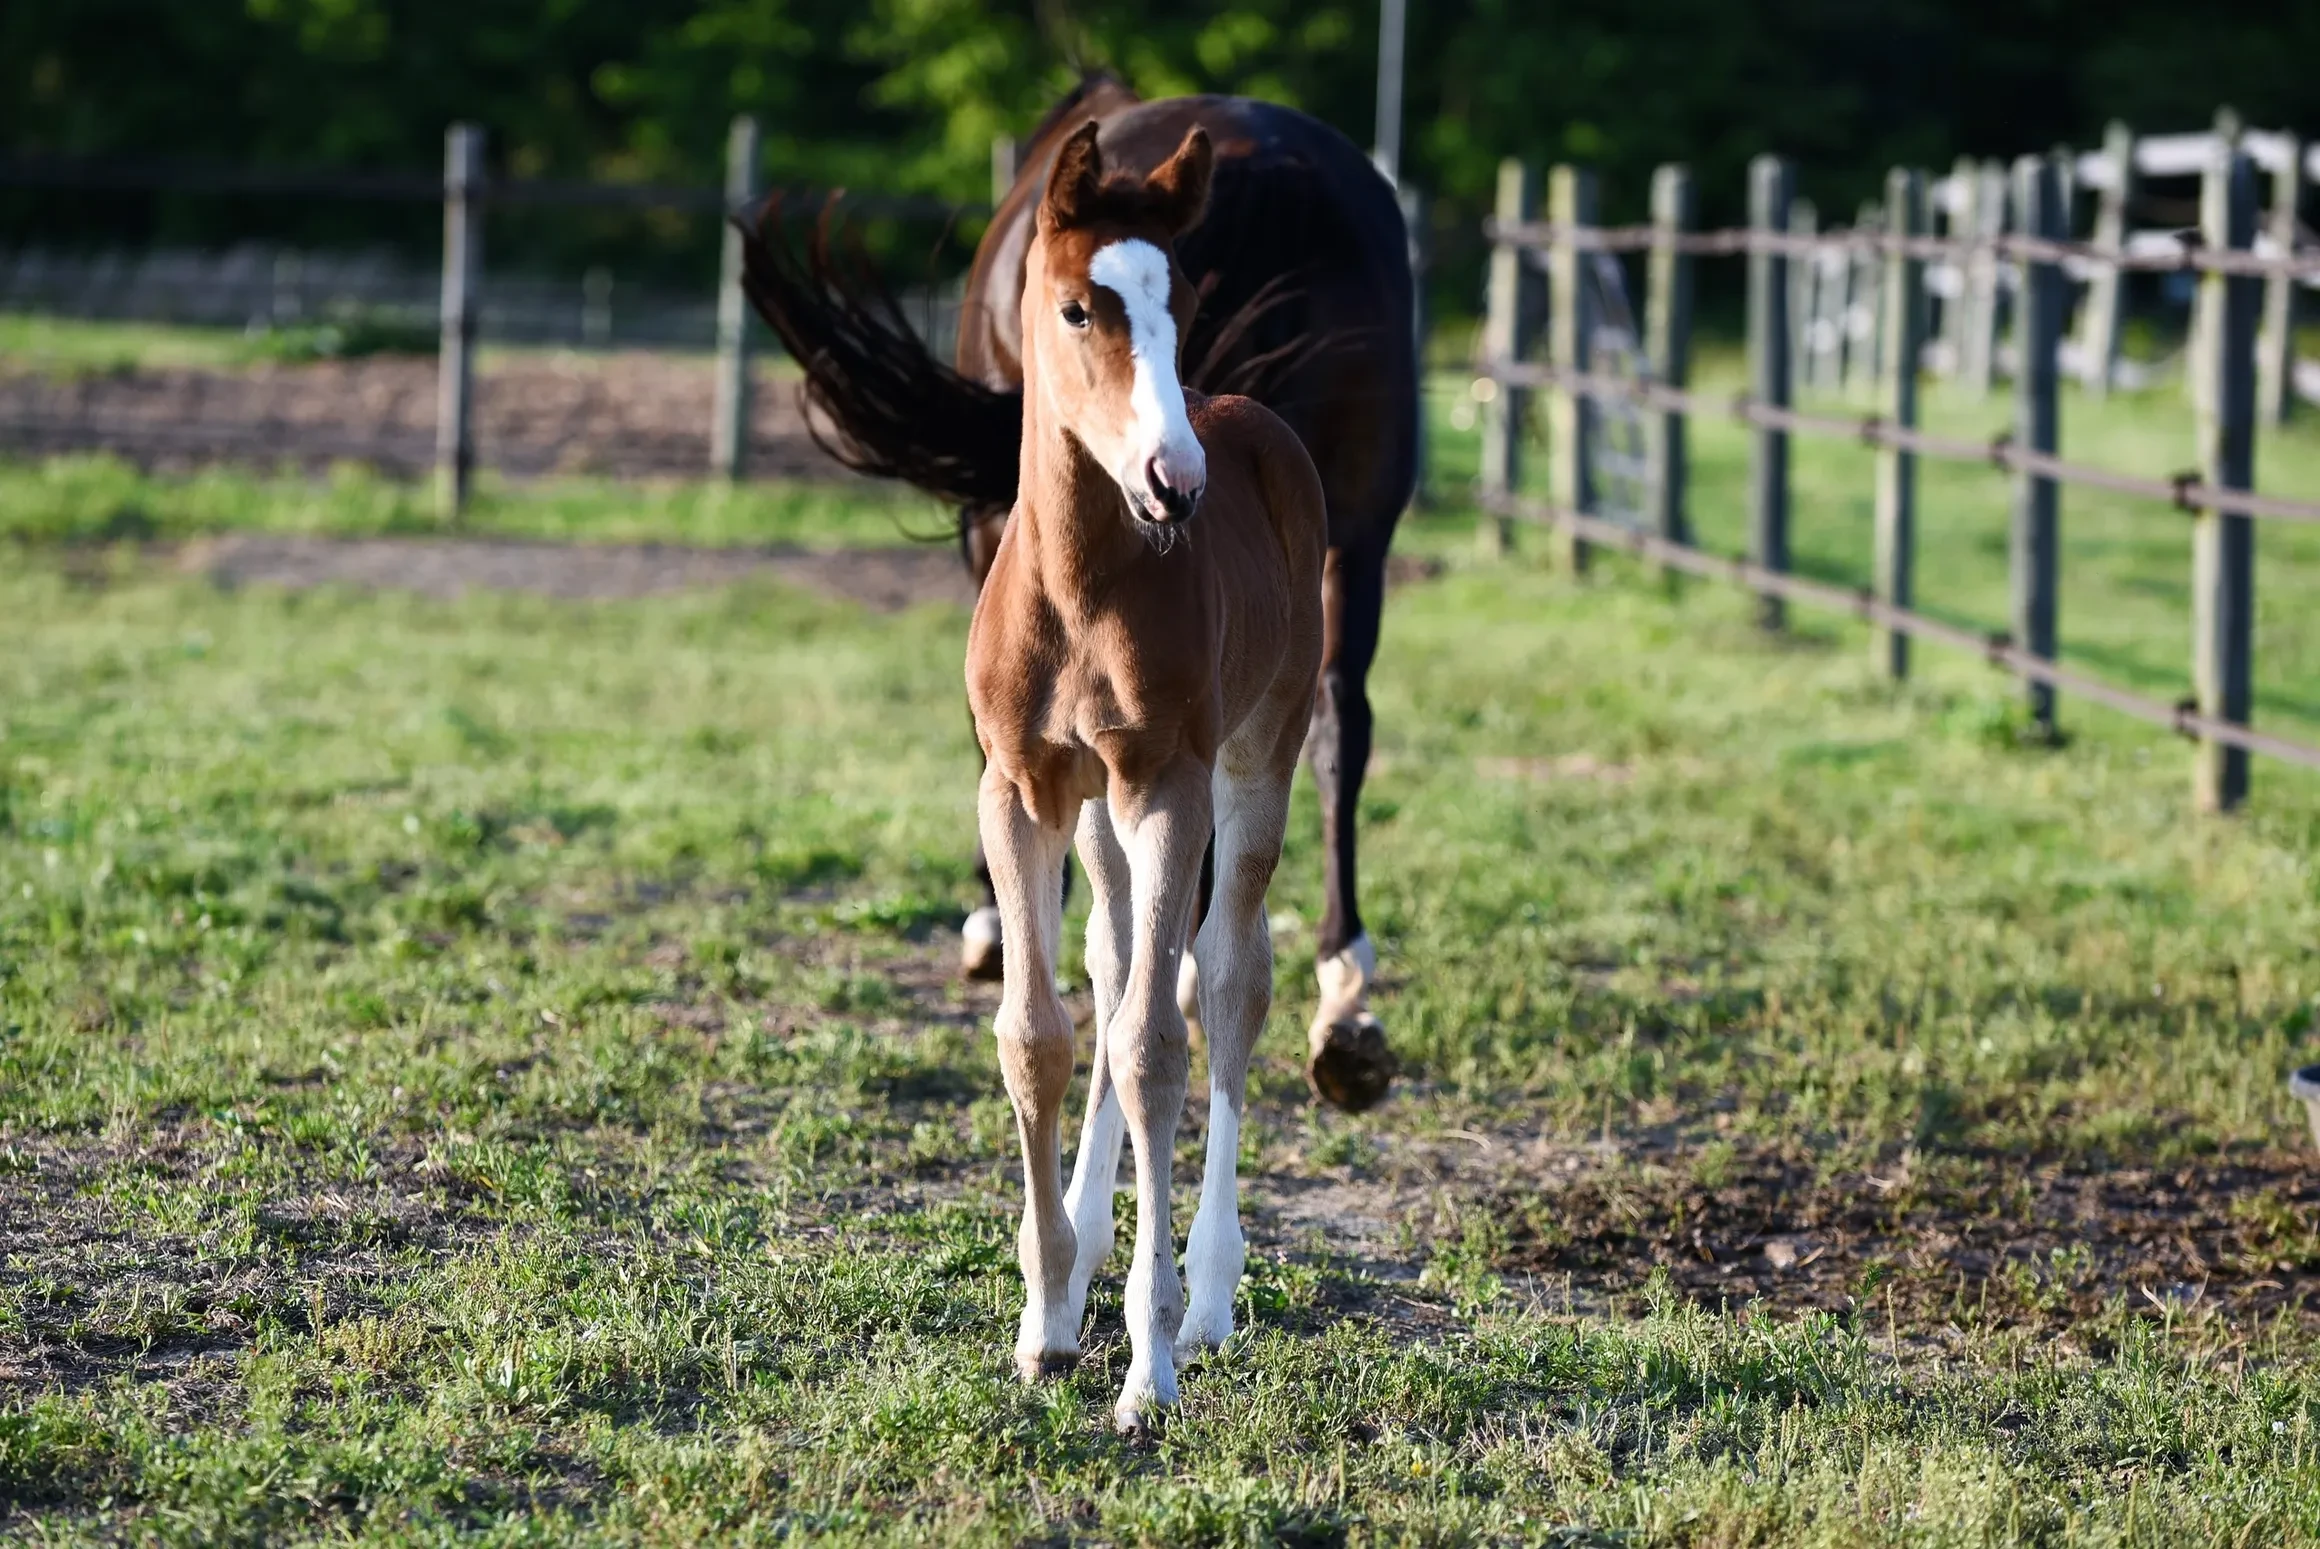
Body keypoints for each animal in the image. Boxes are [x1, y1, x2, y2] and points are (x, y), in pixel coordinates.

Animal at [739, 74, 1415, 1111]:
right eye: (1079, 313)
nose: (1174, 478)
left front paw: (1003, 924)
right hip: (1359, 538)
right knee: (1341, 723)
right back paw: (1342, 1011)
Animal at [967, 118, 1324, 1432]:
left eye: (1181, 308)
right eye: (1078, 307)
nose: (1178, 479)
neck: (1080, 586)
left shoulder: (1168, 781)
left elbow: (1155, 1049)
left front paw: (1149, 1365)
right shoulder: (1020, 788)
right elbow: (1042, 1034)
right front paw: (1044, 1317)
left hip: (1257, 754)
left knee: (1222, 979)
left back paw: (1209, 1294)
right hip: (1099, 817)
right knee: (1119, 961)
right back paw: (1081, 1275)